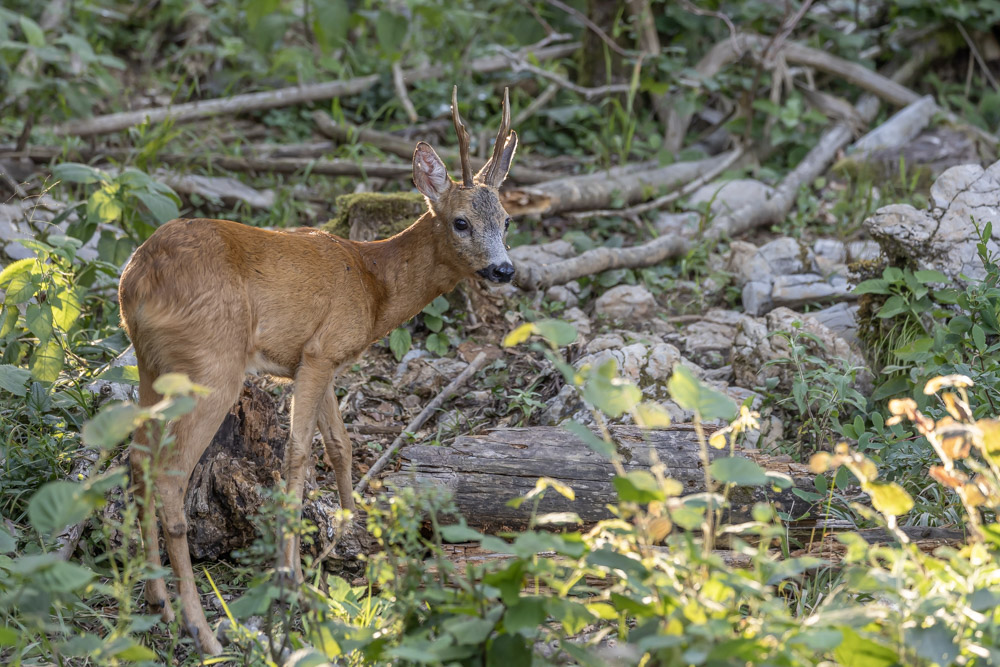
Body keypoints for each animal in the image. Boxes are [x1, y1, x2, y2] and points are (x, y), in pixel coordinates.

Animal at [119, 86, 516, 656]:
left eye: (506, 221)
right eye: (461, 221)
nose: (504, 269)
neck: (373, 285)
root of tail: (134, 279)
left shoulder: (324, 358)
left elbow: (341, 445)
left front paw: (355, 532)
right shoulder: (318, 352)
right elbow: (299, 454)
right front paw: (292, 576)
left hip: (150, 366)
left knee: (137, 459)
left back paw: (157, 602)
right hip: (212, 362)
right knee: (169, 474)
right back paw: (202, 631)